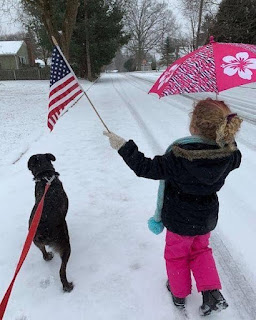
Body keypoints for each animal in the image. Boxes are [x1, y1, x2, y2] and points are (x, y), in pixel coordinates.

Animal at [28, 153, 73, 292]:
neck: (45, 176)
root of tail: (43, 233)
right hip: (65, 245)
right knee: (61, 271)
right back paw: (67, 286)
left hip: (36, 242)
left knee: (43, 253)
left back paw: (47, 256)